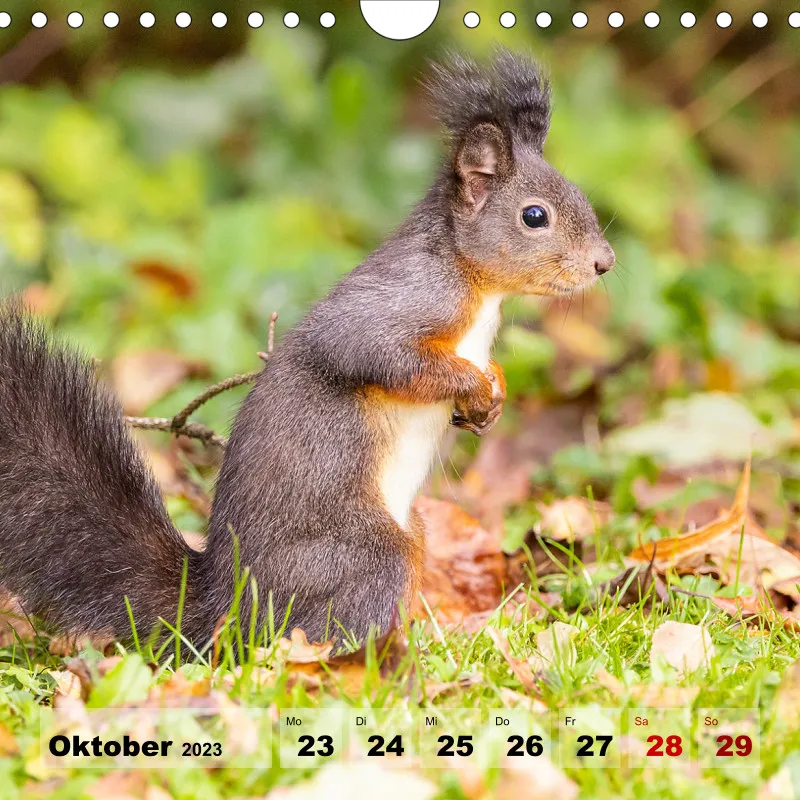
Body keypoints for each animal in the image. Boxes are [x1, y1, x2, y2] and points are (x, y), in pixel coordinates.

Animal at [0, 50, 613, 648]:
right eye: (534, 216)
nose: (605, 262)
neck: (477, 287)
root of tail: (226, 608)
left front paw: (493, 395)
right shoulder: (400, 302)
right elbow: (377, 354)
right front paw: (471, 386)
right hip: (365, 555)